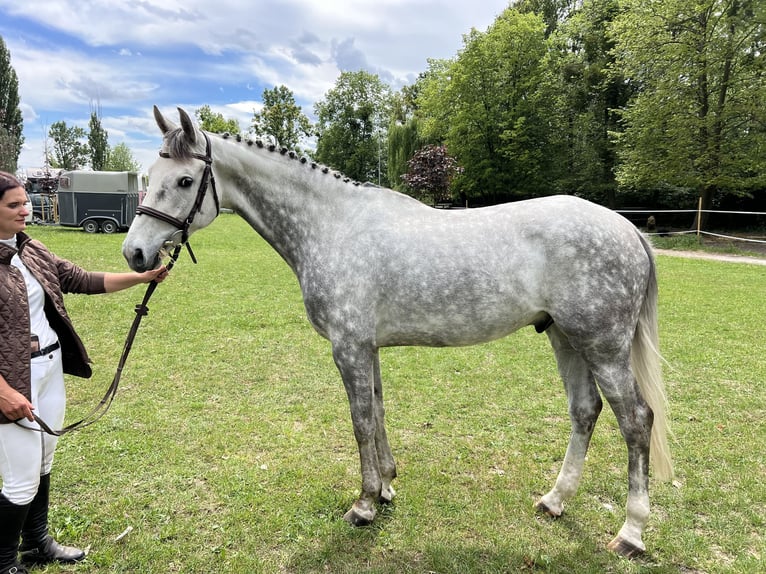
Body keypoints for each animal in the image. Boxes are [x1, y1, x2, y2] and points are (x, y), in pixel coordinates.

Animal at [124, 107, 672, 560]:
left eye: (185, 179)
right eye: (150, 177)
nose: (135, 254)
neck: (332, 226)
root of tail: (626, 227)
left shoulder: (348, 348)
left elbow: (361, 421)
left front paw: (365, 504)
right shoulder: (366, 348)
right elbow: (379, 411)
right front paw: (386, 486)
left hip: (603, 346)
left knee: (635, 422)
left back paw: (630, 533)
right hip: (565, 338)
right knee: (585, 411)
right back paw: (555, 501)